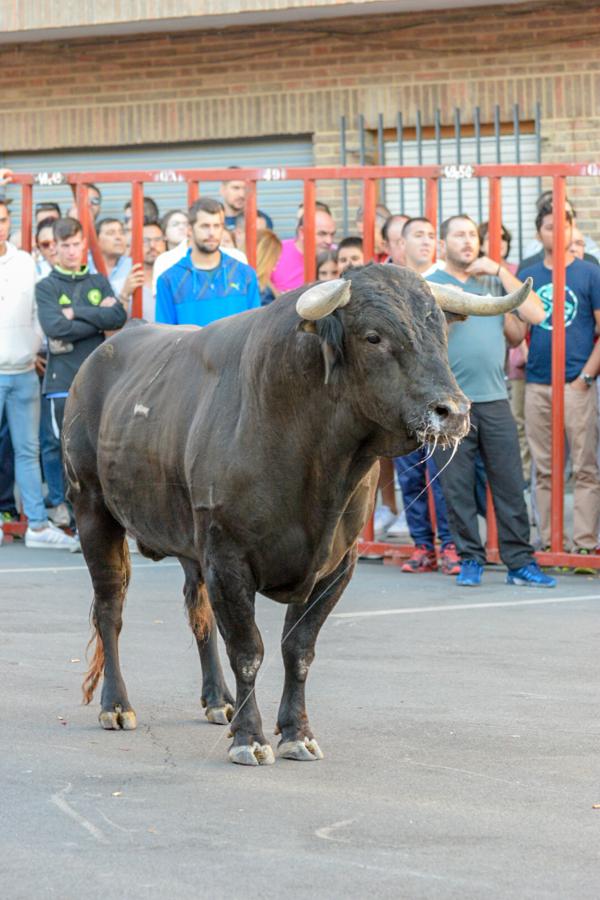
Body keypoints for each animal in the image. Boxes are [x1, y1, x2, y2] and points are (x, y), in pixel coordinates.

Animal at [62, 262, 516, 768]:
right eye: (373, 336)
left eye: (440, 331)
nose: (452, 411)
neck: (317, 464)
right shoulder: (228, 558)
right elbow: (248, 649)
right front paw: (250, 738)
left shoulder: (336, 563)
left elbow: (297, 650)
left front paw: (297, 732)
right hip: (93, 511)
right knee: (110, 609)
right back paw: (117, 706)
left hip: (189, 544)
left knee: (198, 614)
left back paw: (217, 701)